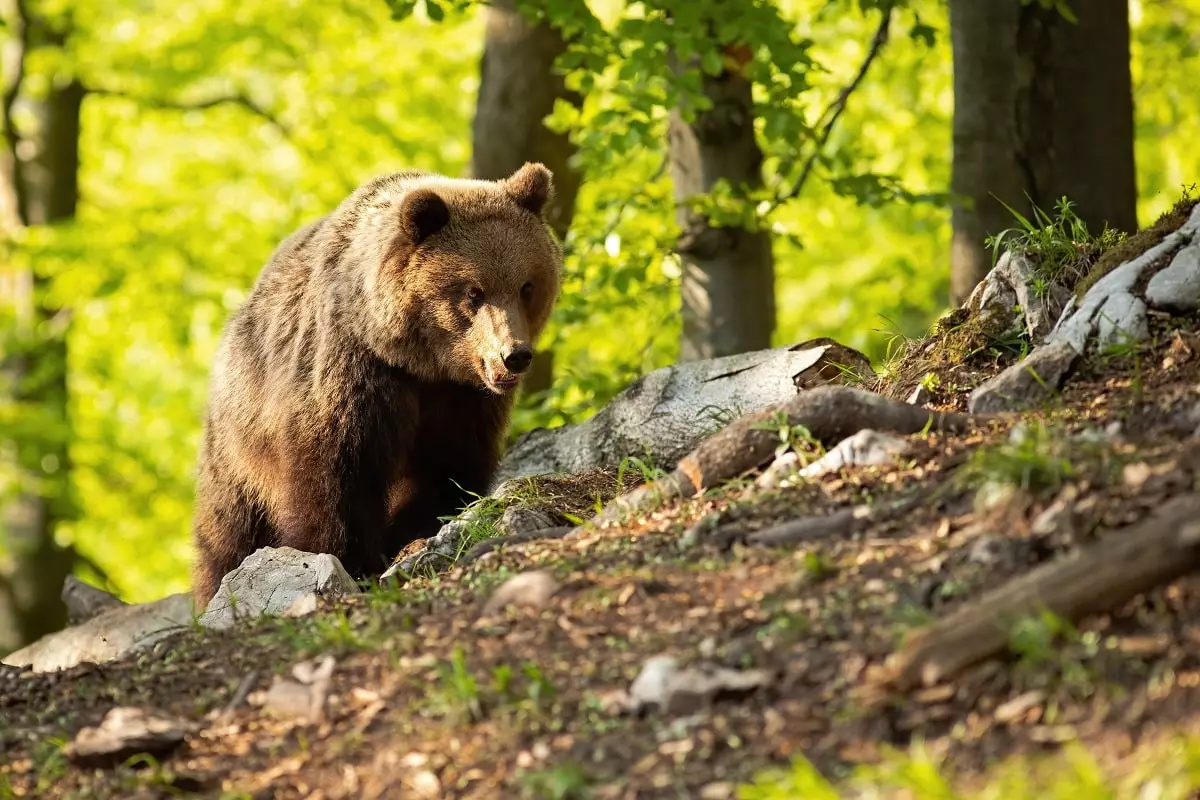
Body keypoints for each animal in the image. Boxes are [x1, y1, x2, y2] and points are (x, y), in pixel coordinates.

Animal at [189, 163, 564, 604]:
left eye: (526, 286)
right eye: (474, 291)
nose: (514, 354)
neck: (421, 363)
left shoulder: (462, 400)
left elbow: (447, 469)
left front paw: (412, 535)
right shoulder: (355, 371)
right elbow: (338, 478)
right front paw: (348, 560)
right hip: (240, 437)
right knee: (229, 530)